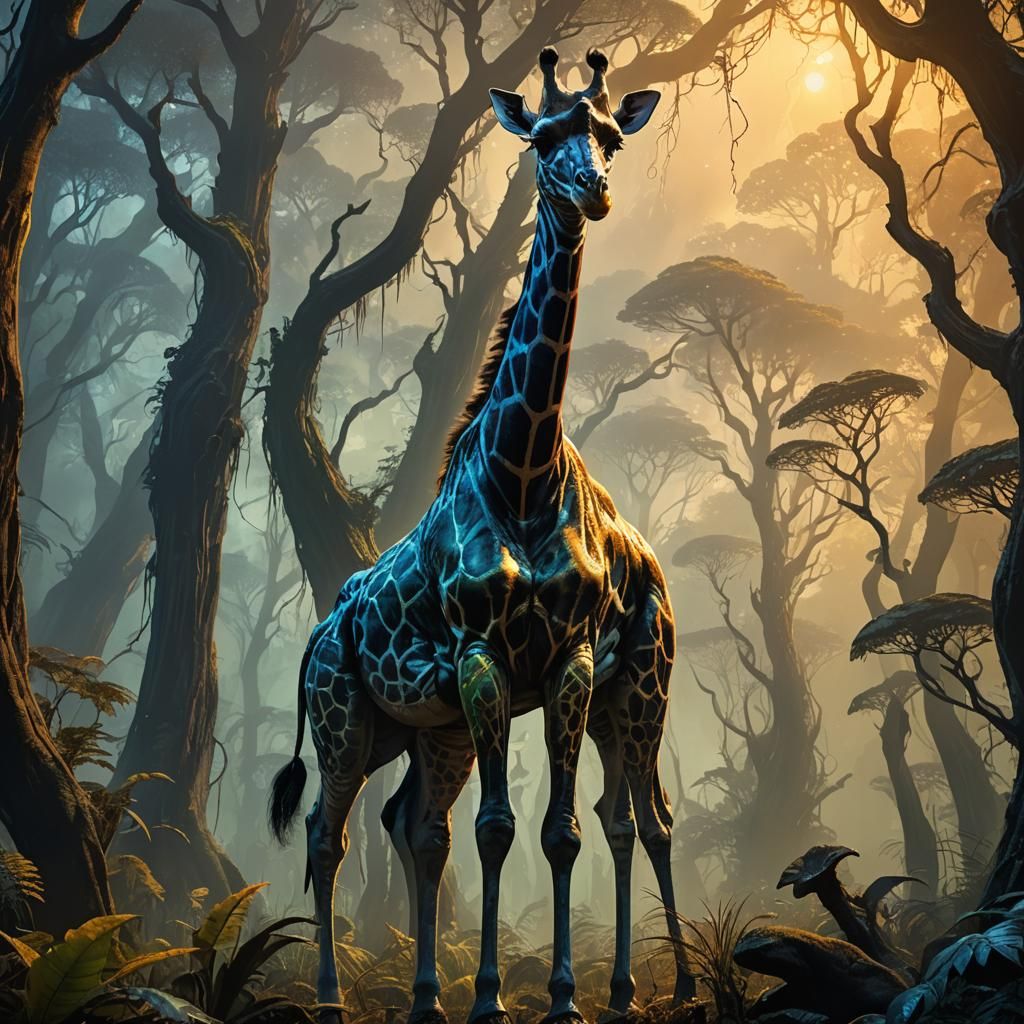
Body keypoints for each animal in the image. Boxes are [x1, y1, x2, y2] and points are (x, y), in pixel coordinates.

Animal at [270, 48, 694, 1024]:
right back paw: (337, 997)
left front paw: (568, 996)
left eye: (611, 136)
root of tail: (319, 631)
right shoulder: (481, 654)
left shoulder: (571, 659)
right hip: (348, 717)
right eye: (543, 138)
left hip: (585, 701)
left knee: (485, 823)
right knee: (329, 831)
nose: (593, 190)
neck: (524, 472)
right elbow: (501, 830)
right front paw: (501, 998)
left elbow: (563, 831)